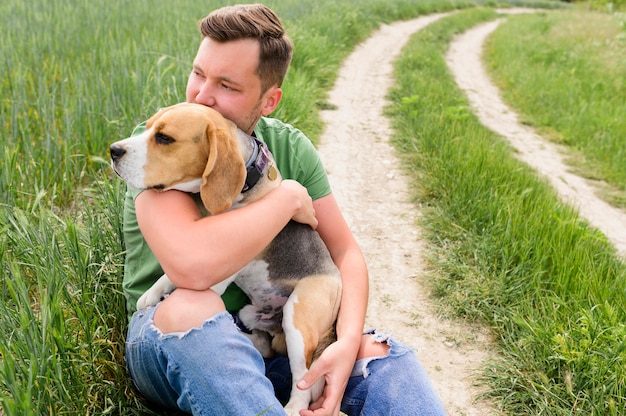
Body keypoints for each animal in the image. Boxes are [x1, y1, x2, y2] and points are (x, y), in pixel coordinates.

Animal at [109, 101, 338, 412]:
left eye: (164, 138)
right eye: (147, 128)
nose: (113, 149)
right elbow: (168, 274)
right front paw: (152, 294)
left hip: (298, 317)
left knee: (304, 378)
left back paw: (293, 405)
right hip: (251, 312)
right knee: (265, 346)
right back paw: (243, 336)